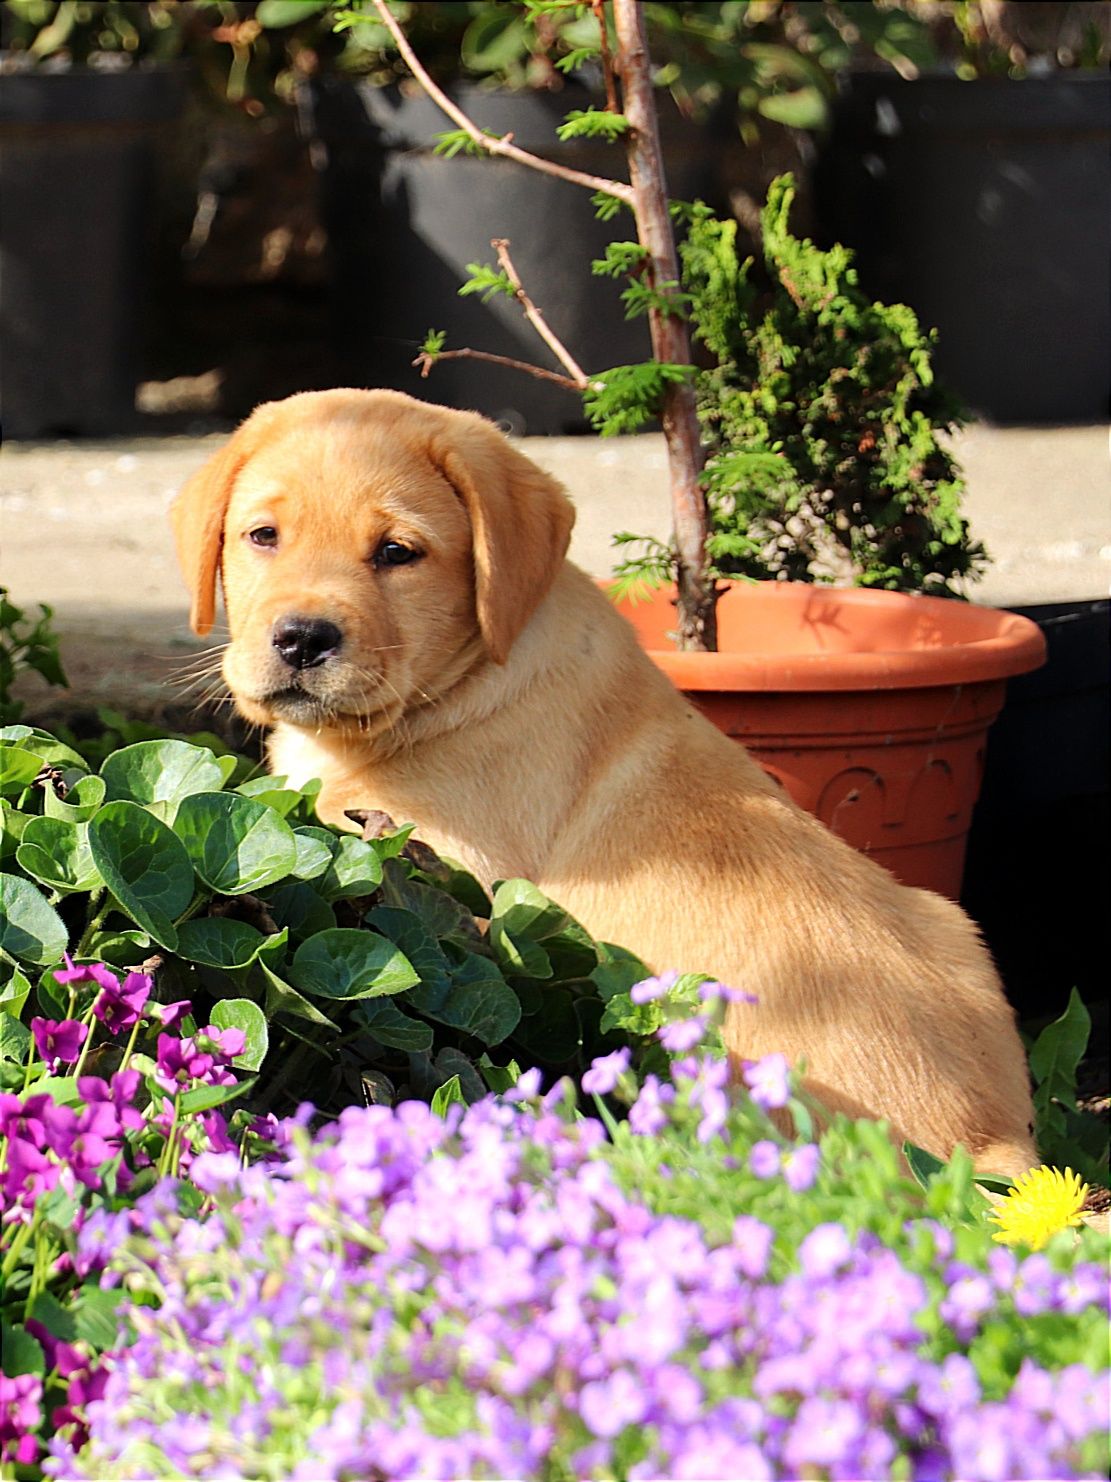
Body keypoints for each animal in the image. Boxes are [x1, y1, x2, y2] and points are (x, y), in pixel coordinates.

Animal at [169, 388, 1042, 1173]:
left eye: (396, 553)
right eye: (262, 536)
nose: (301, 638)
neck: (459, 684)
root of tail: (985, 1145)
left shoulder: (432, 861)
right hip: (950, 922)